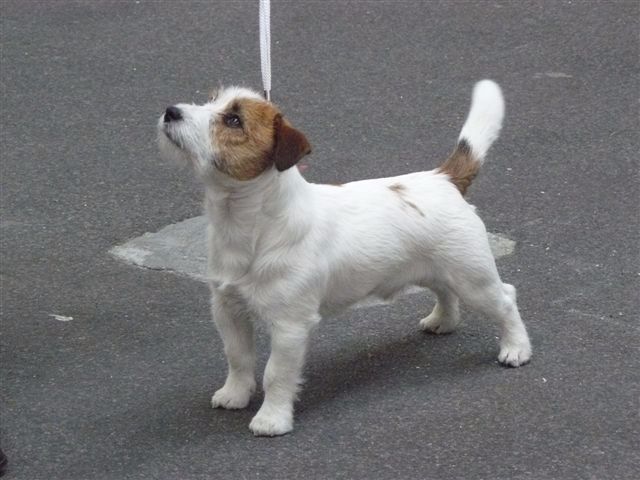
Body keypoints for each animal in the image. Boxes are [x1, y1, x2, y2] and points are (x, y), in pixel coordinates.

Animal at [157, 80, 532, 436]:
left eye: (234, 120)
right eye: (210, 100)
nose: (170, 111)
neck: (249, 224)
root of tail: (443, 179)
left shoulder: (290, 326)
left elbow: (276, 374)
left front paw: (271, 419)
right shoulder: (227, 309)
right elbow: (237, 357)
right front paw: (234, 394)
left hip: (472, 278)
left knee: (506, 299)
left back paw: (516, 348)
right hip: (434, 269)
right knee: (444, 291)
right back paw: (443, 320)